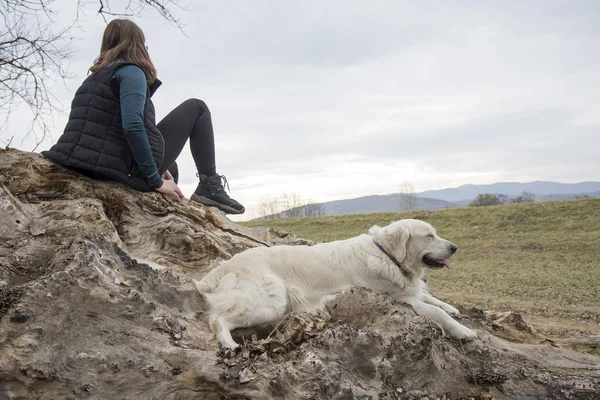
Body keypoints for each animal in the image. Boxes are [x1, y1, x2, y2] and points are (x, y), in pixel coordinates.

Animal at [197, 219, 478, 346]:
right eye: (429, 236)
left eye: (436, 233)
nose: (454, 247)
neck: (387, 254)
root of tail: (225, 265)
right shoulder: (400, 298)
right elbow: (434, 311)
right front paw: (462, 330)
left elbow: (431, 297)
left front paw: (452, 307)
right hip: (269, 303)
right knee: (217, 319)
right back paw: (230, 345)